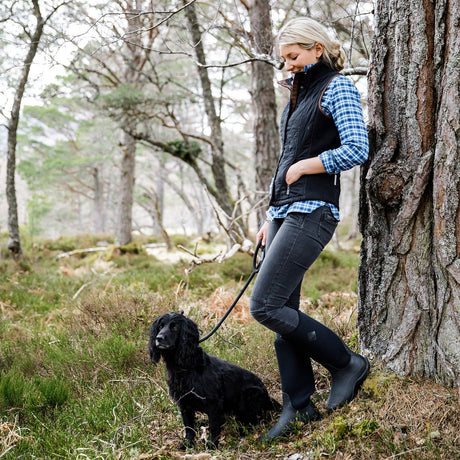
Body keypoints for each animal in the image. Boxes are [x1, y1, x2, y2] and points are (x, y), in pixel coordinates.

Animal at [149, 310, 278, 448]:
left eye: (175, 327)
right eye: (160, 326)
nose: (159, 338)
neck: (185, 366)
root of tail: (268, 398)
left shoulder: (213, 402)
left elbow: (214, 425)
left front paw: (212, 444)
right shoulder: (184, 402)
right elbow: (188, 426)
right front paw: (188, 443)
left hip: (250, 394)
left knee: (256, 419)